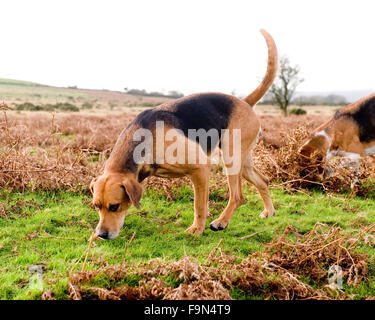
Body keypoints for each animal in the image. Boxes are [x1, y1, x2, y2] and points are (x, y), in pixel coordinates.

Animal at [91, 30, 280, 239]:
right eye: (96, 206)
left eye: (114, 207)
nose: (101, 234)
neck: (145, 141)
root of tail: (244, 102)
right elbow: (203, 202)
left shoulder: (200, 168)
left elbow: (199, 205)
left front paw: (197, 228)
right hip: (243, 162)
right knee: (263, 181)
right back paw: (268, 212)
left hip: (231, 159)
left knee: (238, 196)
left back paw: (221, 222)